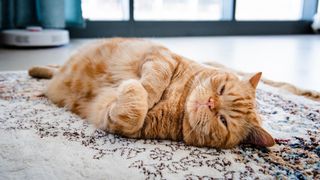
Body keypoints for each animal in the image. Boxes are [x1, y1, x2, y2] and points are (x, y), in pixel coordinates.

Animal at [28, 37, 276, 148]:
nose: (210, 103)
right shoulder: (161, 55)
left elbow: (134, 113)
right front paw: (145, 91)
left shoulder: (119, 123)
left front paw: (132, 91)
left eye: (223, 120)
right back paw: (33, 72)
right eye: (221, 89)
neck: (179, 100)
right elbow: (156, 80)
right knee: (54, 68)